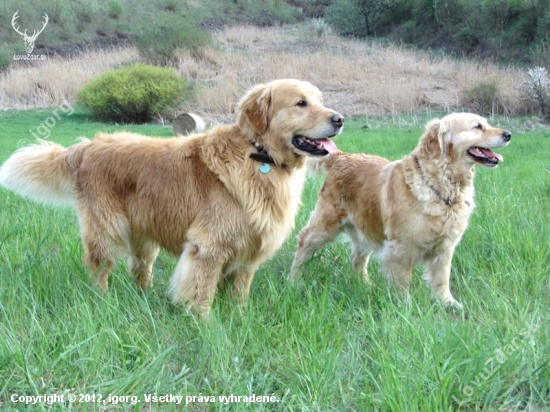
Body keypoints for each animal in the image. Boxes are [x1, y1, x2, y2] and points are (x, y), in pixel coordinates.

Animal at [1, 78, 344, 316]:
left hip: (143, 236)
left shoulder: (248, 250)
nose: (340, 119)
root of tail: (86, 146)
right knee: (99, 269)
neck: (258, 154)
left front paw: (239, 316)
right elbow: (202, 291)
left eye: (320, 100)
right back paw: (104, 301)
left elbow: (240, 291)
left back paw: (145, 298)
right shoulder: (208, 245)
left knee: (139, 270)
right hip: (107, 230)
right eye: (300, 103)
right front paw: (206, 324)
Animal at [294, 112, 512, 308]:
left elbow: (442, 278)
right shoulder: (402, 247)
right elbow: (402, 281)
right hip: (324, 226)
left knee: (357, 259)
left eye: (487, 123)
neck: (441, 187)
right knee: (303, 244)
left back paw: (365, 284)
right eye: (477, 126)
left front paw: (448, 302)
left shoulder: (446, 247)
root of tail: (341, 157)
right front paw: (405, 305)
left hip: (365, 226)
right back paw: (294, 279)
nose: (508, 134)